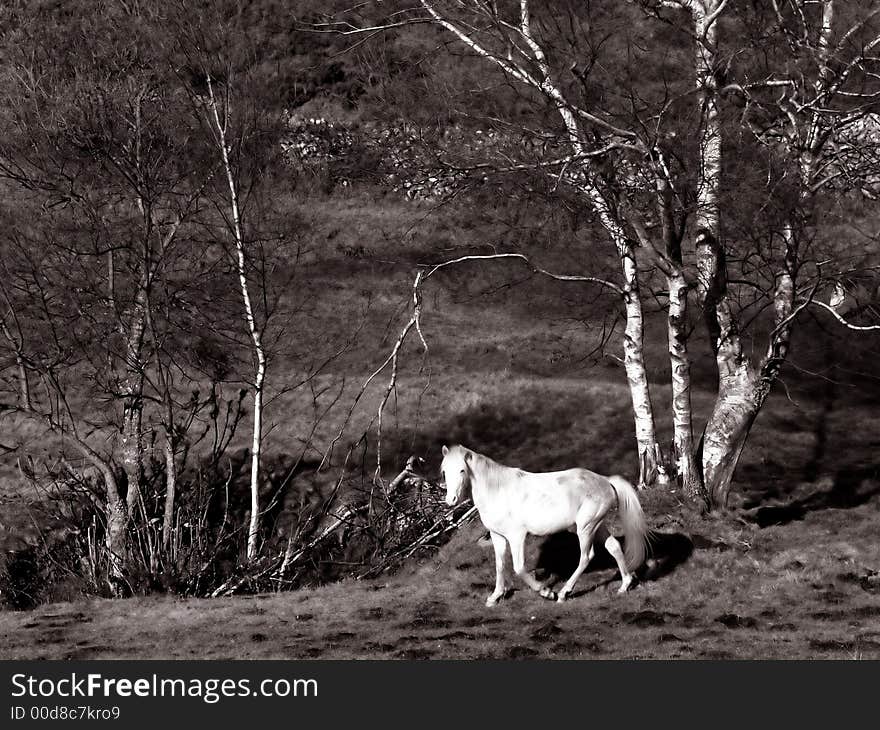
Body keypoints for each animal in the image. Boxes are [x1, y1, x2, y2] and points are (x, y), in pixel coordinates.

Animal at [440, 444, 648, 604]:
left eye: (462, 470)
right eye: (444, 472)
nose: (451, 500)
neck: (497, 490)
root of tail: (606, 481)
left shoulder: (516, 536)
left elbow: (519, 568)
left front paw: (546, 592)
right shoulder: (497, 536)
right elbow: (500, 565)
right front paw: (494, 598)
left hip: (586, 528)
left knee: (586, 556)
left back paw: (563, 593)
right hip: (596, 525)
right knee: (614, 547)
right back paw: (625, 585)